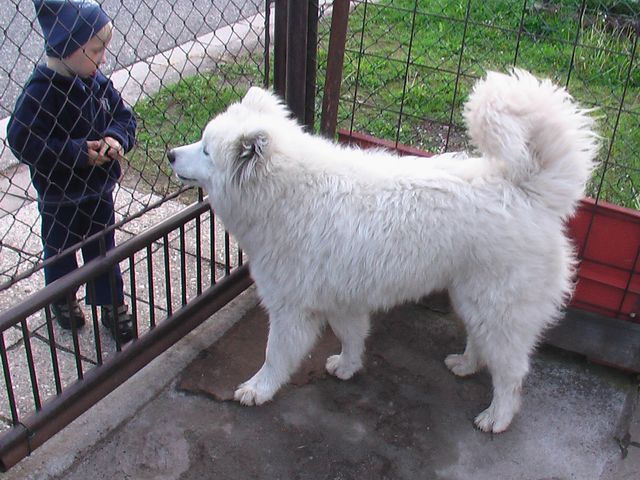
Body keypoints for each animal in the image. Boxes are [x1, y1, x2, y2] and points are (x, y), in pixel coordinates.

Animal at [168, 69, 598, 433]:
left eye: (205, 150)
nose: (171, 154)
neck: (286, 193)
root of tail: (528, 191)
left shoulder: (291, 309)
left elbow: (275, 355)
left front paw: (258, 389)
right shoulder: (342, 299)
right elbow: (352, 337)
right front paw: (347, 366)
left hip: (499, 308)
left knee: (511, 373)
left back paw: (497, 417)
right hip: (473, 298)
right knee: (482, 343)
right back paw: (465, 364)